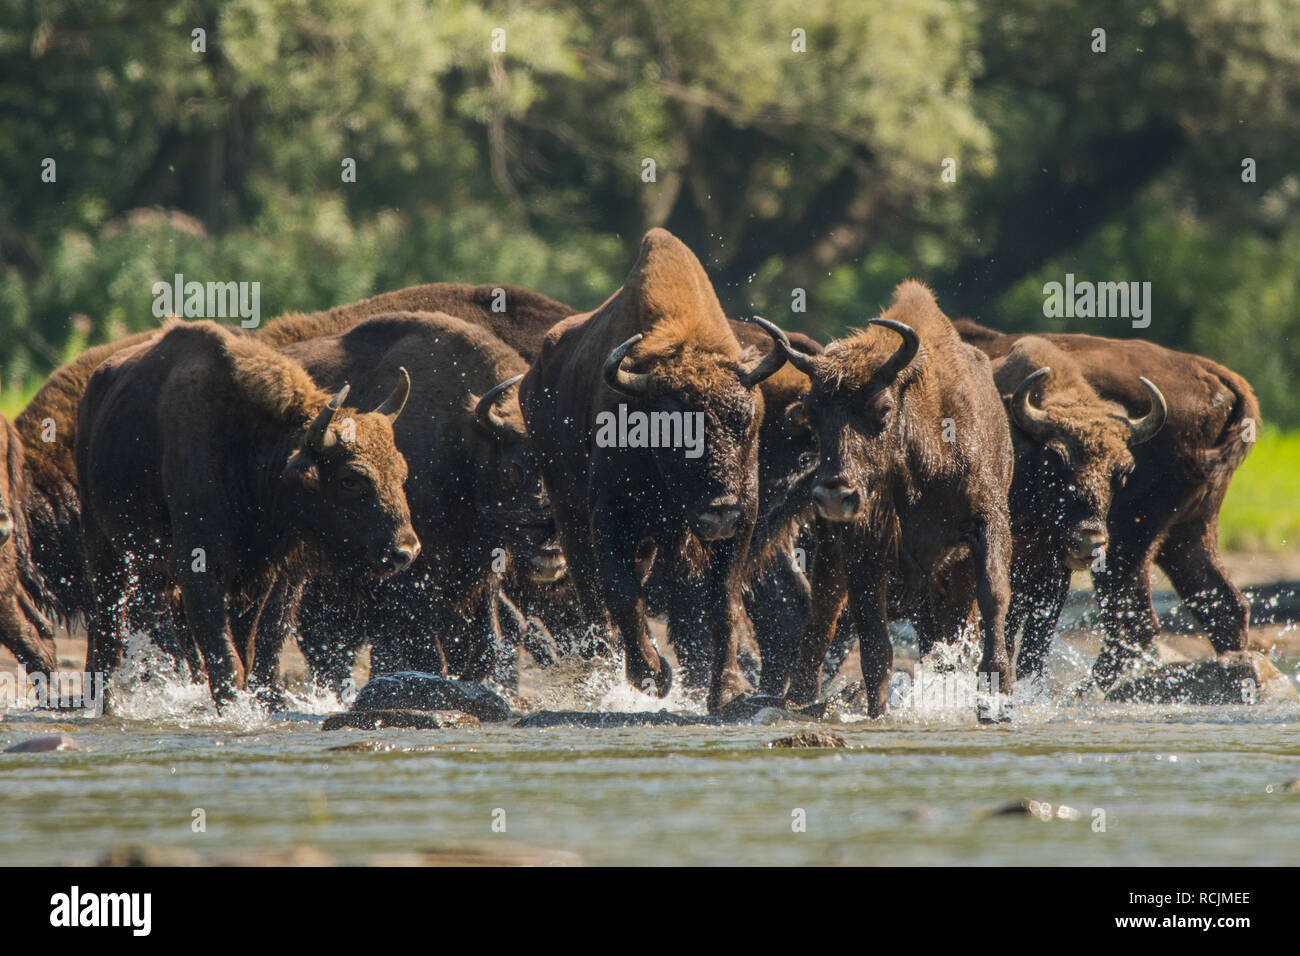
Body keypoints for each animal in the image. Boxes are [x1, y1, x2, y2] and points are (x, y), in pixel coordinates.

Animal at [76, 320, 419, 707]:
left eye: (401, 471)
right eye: (349, 479)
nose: (406, 550)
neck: (248, 449)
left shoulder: (257, 578)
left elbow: (247, 654)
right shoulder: (198, 571)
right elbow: (227, 663)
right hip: (103, 547)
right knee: (107, 634)